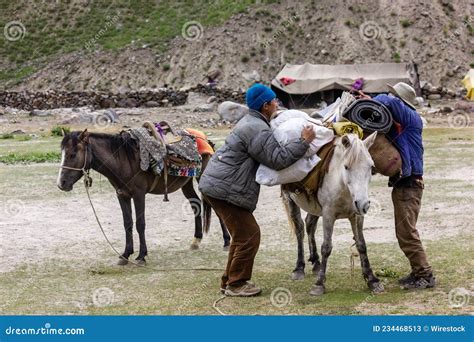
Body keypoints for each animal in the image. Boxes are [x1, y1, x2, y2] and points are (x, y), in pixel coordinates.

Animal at [56, 128, 231, 264]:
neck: (123, 160)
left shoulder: (139, 195)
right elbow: (127, 223)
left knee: (215, 207)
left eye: (72, 154)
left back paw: (226, 241)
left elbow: (140, 224)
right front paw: (125, 254)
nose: (61, 184)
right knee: (196, 205)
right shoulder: (122, 195)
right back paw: (196, 240)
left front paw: (141, 256)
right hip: (186, 183)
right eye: (62, 154)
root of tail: (206, 139)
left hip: (203, 178)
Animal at [282, 132, 386, 296]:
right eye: (346, 166)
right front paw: (319, 284)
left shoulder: (357, 216)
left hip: (315, 208)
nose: (363, 204)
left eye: (371, 167)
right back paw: (299, 268)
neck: (343, 186)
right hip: (290, 199)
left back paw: (316, 263)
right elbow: (326, 247)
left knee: (310, 225)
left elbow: (361, 245)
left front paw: (372, 280)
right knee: (299, 230)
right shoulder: (328, 215)